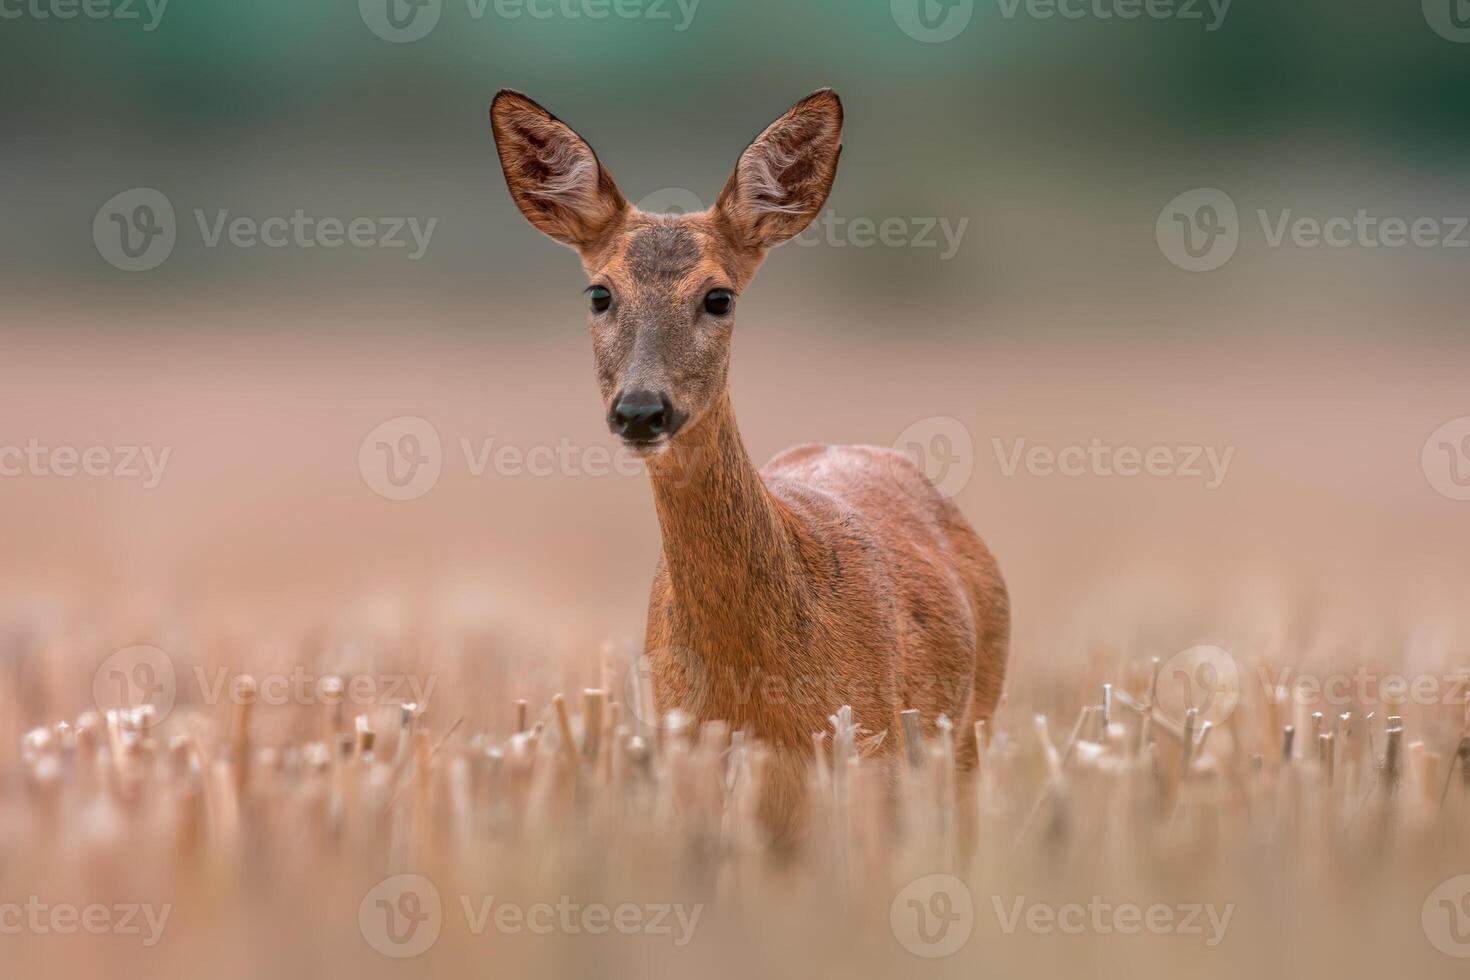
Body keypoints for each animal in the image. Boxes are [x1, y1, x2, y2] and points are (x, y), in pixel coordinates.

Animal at [493, 88, 1011, 846]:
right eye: (599, 293)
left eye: (719, 296)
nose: (641, 410)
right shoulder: (688, 746)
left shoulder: (873, 740)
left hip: (972, 725)